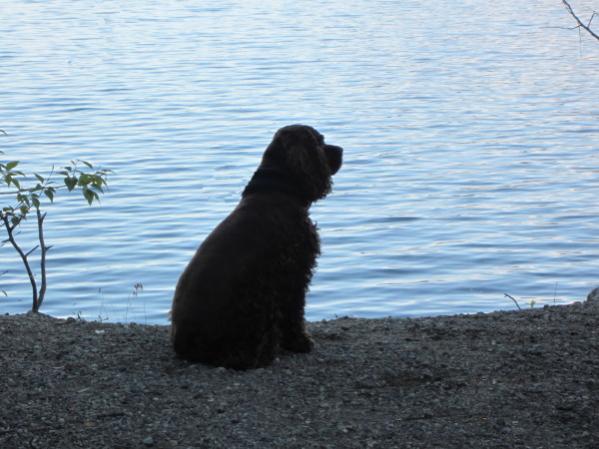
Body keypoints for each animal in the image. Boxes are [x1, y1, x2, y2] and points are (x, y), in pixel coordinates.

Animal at [171, 125, 344, 368]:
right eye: (320, 141)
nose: (342, 150)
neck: (277, 189)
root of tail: (185, 346)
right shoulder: (294, 273)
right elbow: (295, 312)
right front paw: (300, 343)